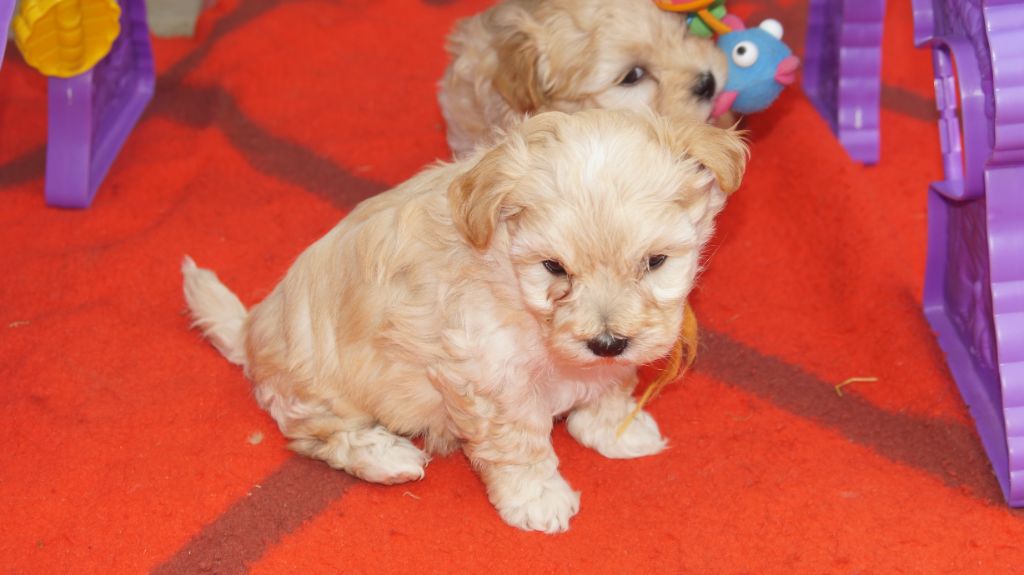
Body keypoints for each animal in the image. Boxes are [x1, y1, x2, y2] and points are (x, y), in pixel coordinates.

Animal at [182, 109, 747, 533]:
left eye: (655, 262)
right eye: (554, 268)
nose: (607, 341)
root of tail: (250, 332)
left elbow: (608, 386)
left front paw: (616, 428)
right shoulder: (489, 375)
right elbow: (517, 445)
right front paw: (537, 499)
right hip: (319, 388)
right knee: (316, 434)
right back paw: (388, 458)